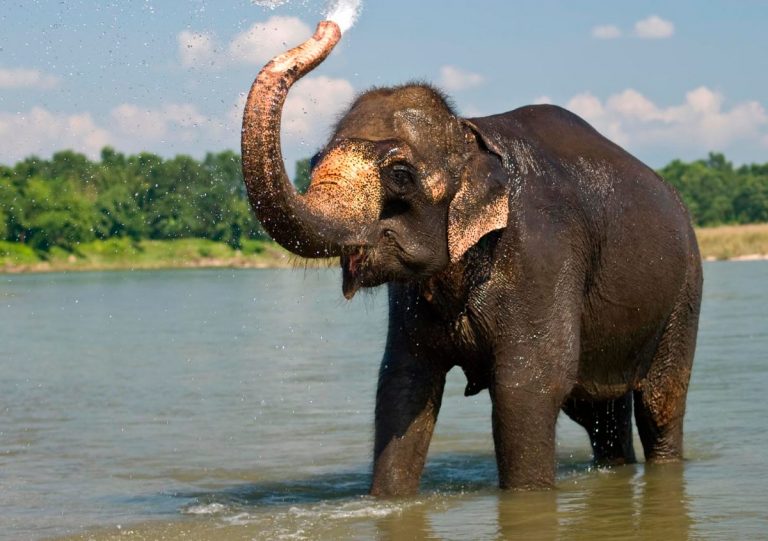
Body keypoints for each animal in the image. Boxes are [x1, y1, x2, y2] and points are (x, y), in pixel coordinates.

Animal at [240, 21, 702, 496]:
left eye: (400, 175)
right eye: (314, 159)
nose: (327, 26)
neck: (470, 134)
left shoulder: (542, 253)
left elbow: (528, 385)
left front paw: (528, 500)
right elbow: (403, 383)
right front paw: (388, 500)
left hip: (685, 290)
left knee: (660, 404)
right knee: (598, 412)